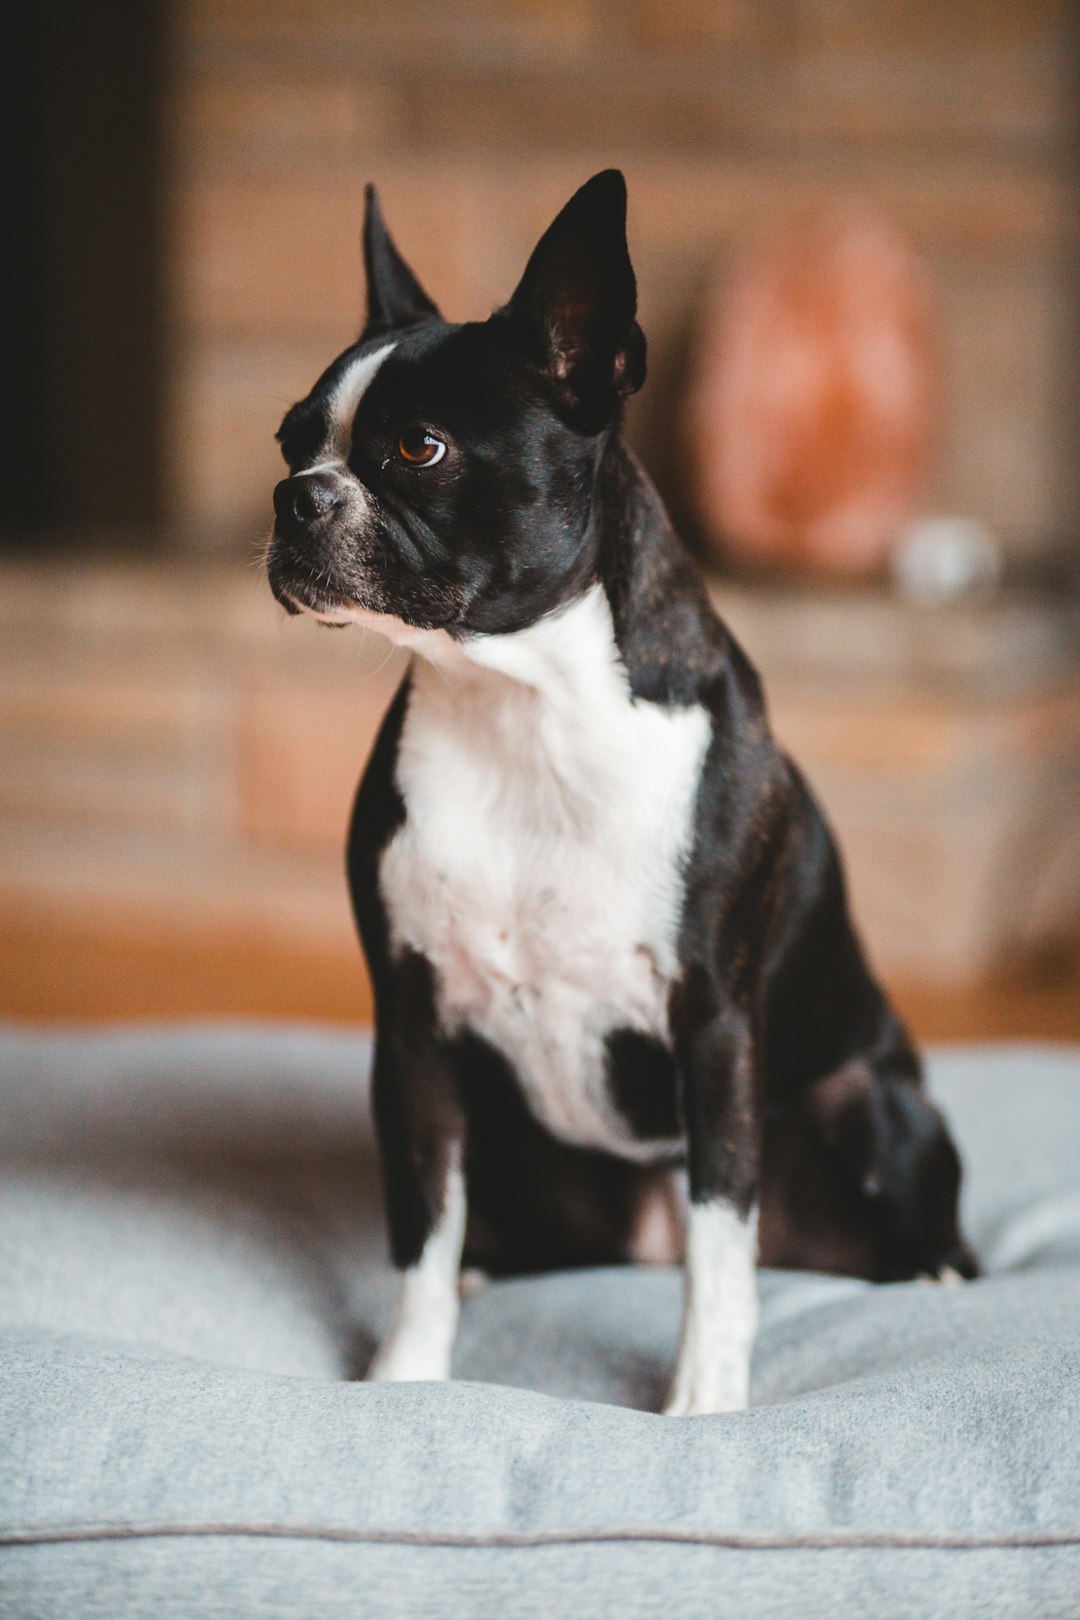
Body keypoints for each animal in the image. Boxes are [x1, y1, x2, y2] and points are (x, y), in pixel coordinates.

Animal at [265, 170, 977, 1412]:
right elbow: (418, 1235)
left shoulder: (716, 1029)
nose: (296, 498)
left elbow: (723, 1252)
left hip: (867, 1104)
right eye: (290, 440)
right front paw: (407, 1379)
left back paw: (935, 1267)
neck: (522, 707)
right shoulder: (411, 1037)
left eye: (418, 447)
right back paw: (491, 1266)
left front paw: (703, 1404)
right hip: (503, 1125)